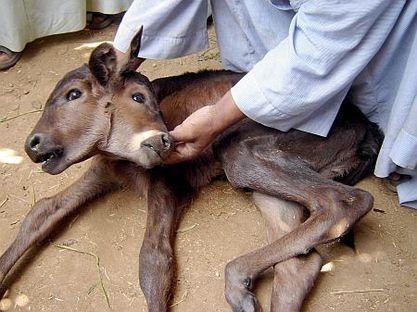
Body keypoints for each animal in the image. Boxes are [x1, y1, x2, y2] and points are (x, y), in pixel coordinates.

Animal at [0, 33, 382, 310]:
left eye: (73, 94)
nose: (32, 144)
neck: (121, 160)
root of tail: (367, 129)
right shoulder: (103, 172)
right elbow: (42, 210)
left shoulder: (168, 184)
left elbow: (153, 261)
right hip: (270, 181)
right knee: (301, 262)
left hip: (245, 153)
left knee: (344, 201)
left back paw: (236, 279)